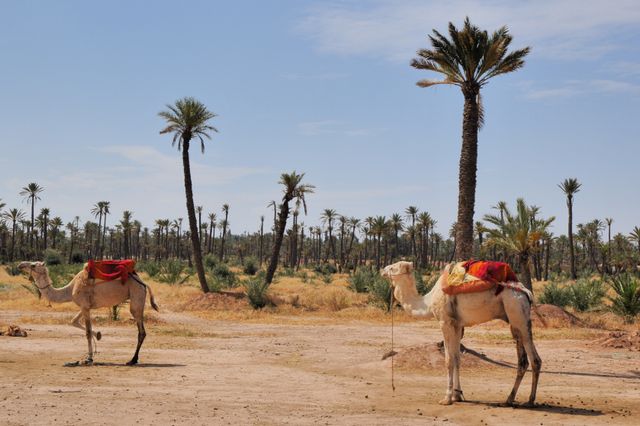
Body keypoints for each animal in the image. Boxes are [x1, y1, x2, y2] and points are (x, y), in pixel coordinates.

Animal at [18, 260, 158, 366]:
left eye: (33, 265)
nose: (20, 264)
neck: (70, 289)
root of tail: (143, 282)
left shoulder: (84, 306)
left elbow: (87, 332)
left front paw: (89, 358)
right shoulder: (85, 306)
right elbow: (74, 321)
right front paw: (99, 335)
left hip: (136, 296)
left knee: (141, 331)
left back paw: (132, 360)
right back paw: (133, 359)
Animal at [382, 260, 544, 406]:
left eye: (393, 267)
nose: (382, 270)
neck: (427, 302)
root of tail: (526, 293)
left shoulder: (445, 323)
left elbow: (448, 360)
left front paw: (447, 398)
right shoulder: (457, 325)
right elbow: (457, 358)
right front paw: (457, 395)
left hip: (517, 313)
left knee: (534, 359)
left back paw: (530, 401)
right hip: (515, 321)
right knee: (522, 361)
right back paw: (510, 399)